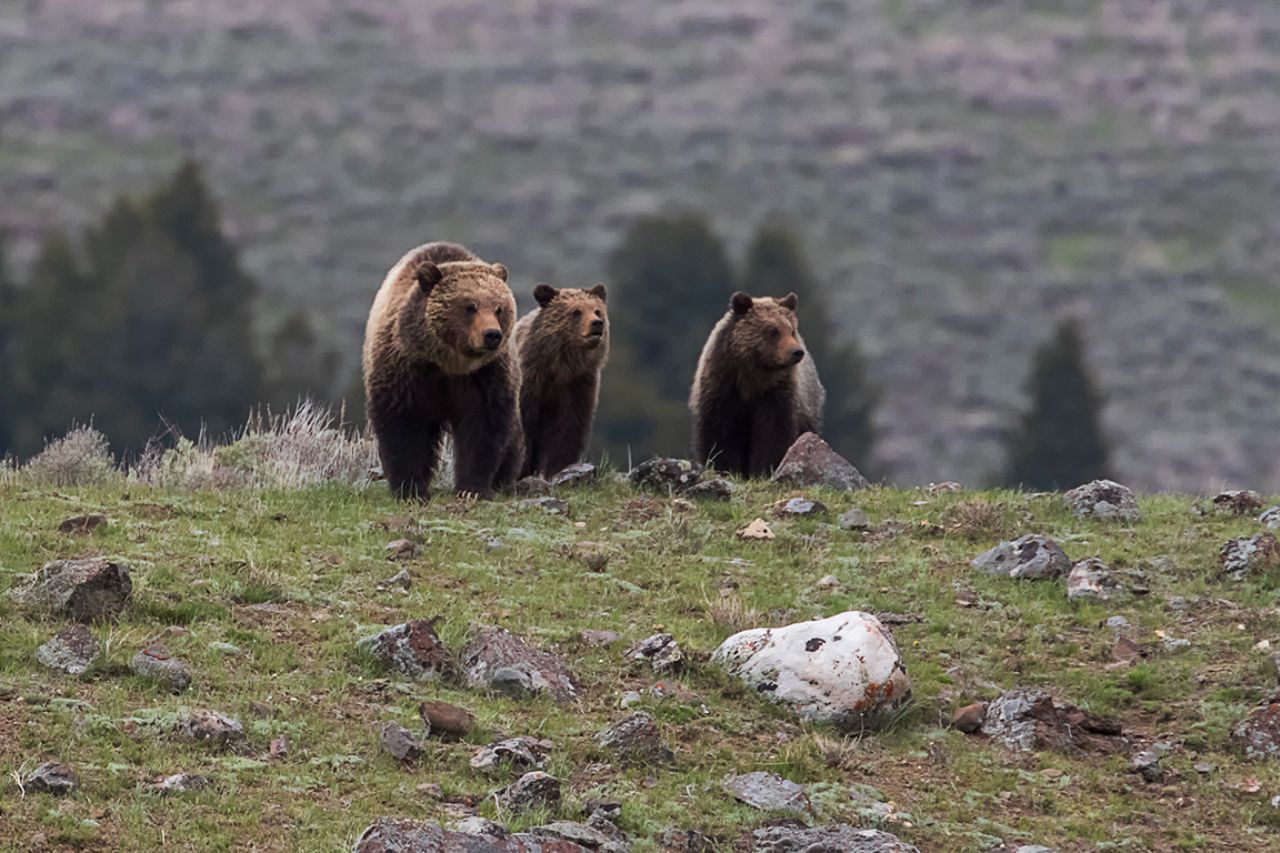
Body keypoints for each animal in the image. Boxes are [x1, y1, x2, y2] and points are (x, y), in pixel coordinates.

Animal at [362, 241, 524, 500]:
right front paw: (411, 489)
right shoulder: (405, 370)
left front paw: (472, 488)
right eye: (470, 306)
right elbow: (403, 426)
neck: (448, 362)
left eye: (499, 308)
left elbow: (483, 428)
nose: (492, 335)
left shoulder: (486, 376)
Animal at [514, 282, 609, 479]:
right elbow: (524, 425)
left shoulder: (577, 385)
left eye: (597, 310)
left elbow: (568, 428)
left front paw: (558, 468)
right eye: (576, 311)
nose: (597, 323)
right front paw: (521, 471)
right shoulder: (530, 382)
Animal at [689, 291, 826, 477]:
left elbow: (773, 432)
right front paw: (725, 467)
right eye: (773, 331)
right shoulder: (722, 386)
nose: (797, 352)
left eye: (791, 330)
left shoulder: (777, 392)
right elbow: (720, 431)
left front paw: (763, 469)